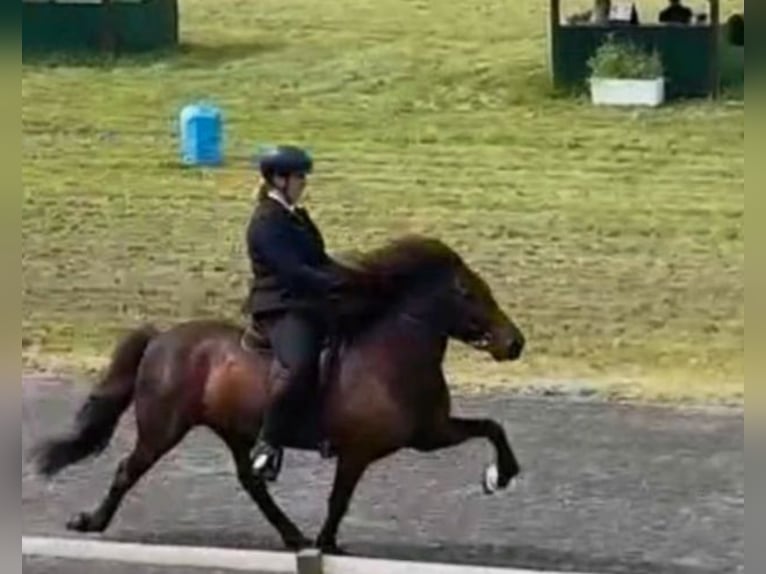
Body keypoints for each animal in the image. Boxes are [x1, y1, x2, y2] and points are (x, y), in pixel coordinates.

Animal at [30, 236, 524, 556]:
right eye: (467, 292)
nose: (514, 343)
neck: (392, 354)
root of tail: (161, 338)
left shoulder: (429, 433)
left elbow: (493, 427)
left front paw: (499, 476)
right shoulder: (359, 451)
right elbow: (339, 499)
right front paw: (328, 544)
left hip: (233, 430)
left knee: (251, 481)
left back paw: (292, 536)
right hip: (162, 429)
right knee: (127, 470)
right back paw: (91, 522)